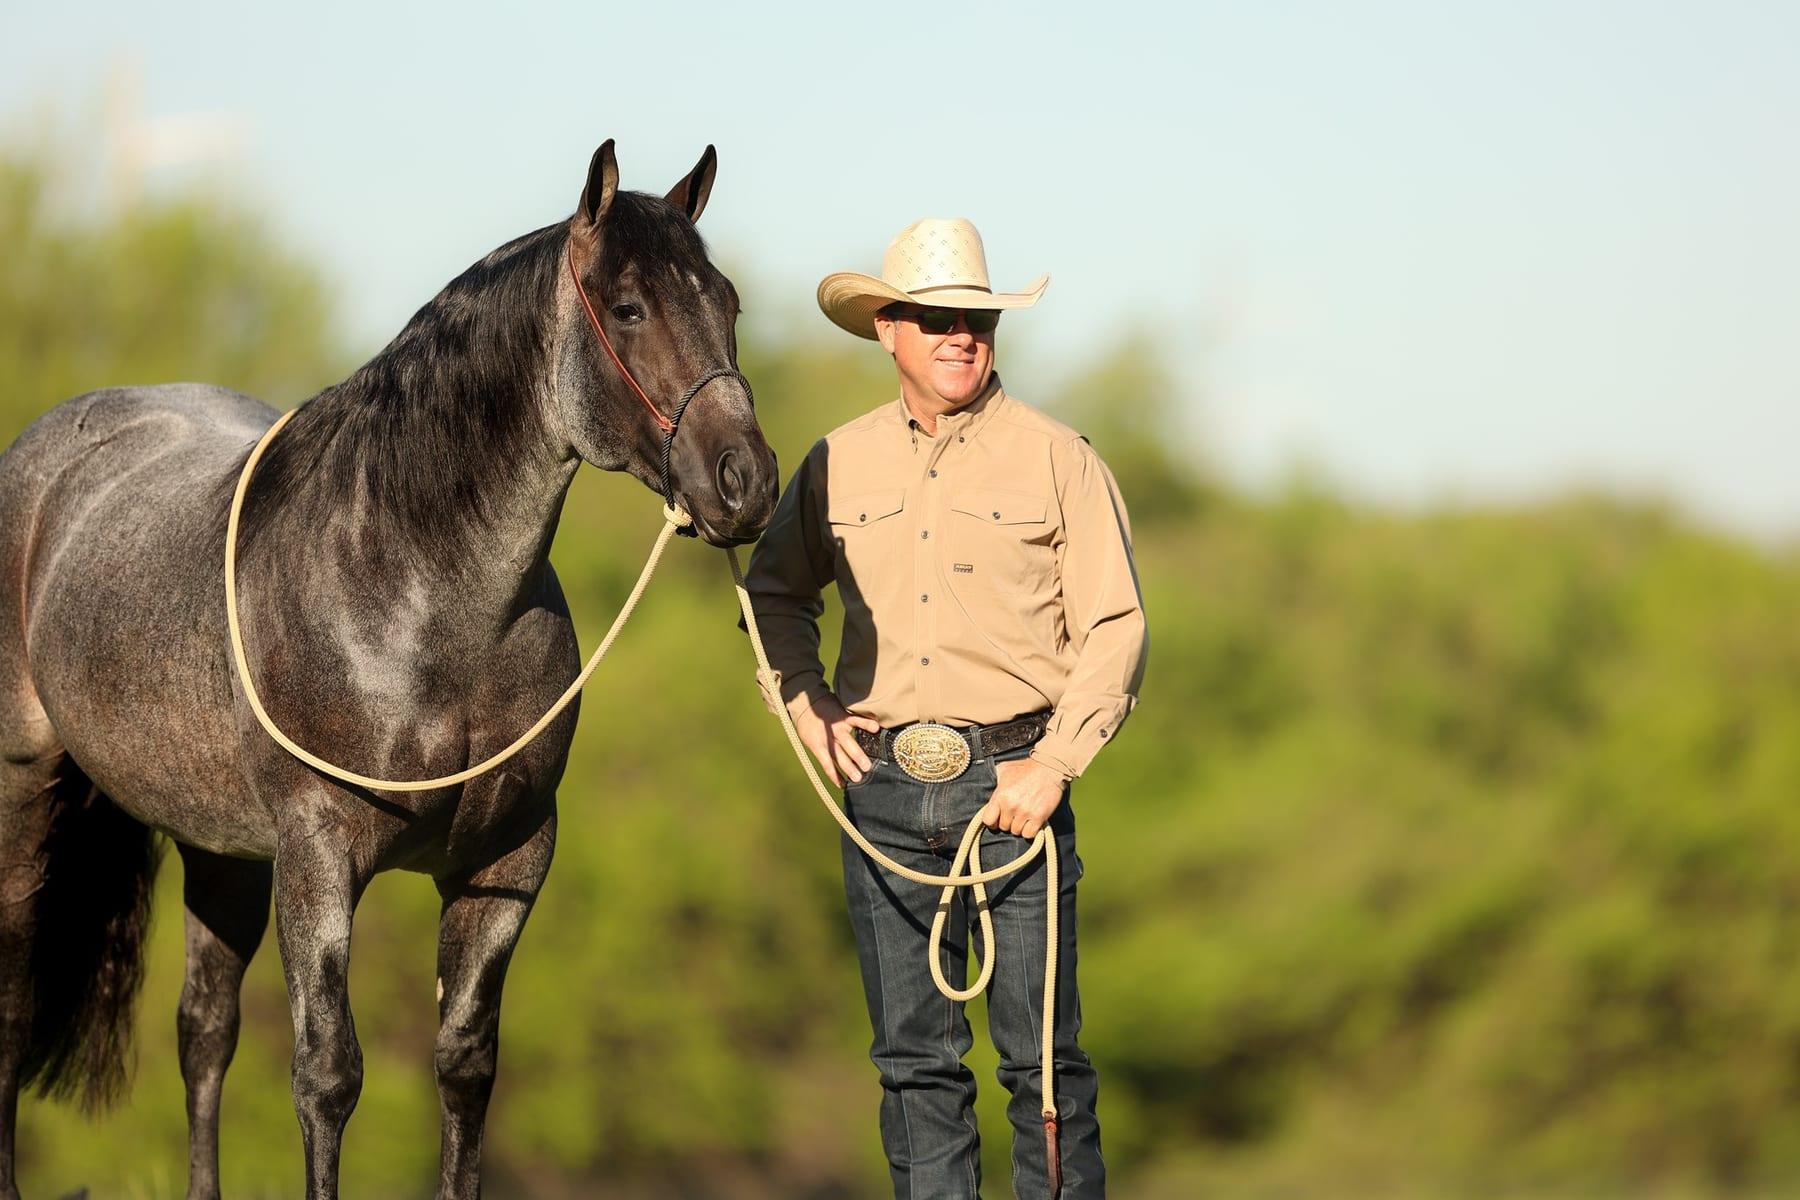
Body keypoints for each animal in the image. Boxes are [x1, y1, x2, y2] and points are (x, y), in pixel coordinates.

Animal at [0, 139, 777, 1200]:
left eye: (727, 300)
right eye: (628, 308)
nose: (748, 482)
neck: (414, 595)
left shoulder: (505, 863)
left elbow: (466, 1065)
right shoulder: (321, 857)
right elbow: (329, 1075)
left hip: (222, 847)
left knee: (204, 1031)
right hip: (29, 797)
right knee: (12, 999)